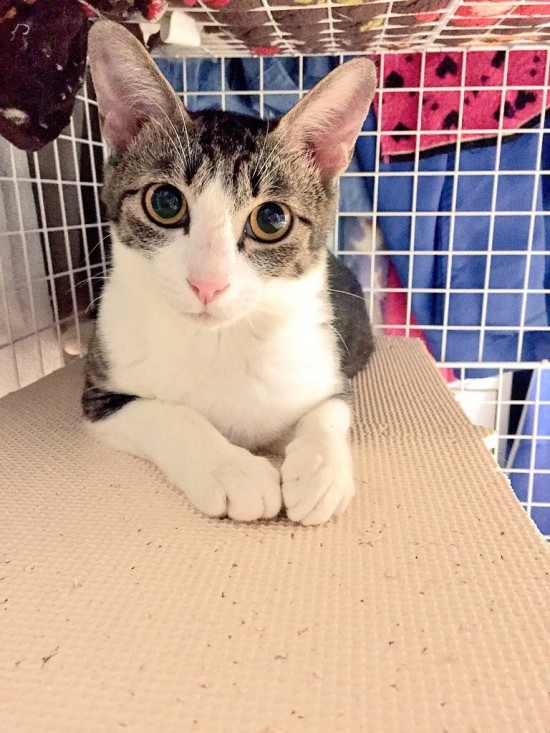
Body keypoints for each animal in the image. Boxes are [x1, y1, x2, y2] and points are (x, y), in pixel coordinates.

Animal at [83, 20, 376, 526]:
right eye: (165, 202)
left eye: (272, 219)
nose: (208, 283)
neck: (219, 340)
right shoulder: (99, 391)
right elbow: (169, 415)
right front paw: (232, 471)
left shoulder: (327, 362)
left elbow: (330, 411)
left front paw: (320, 473)